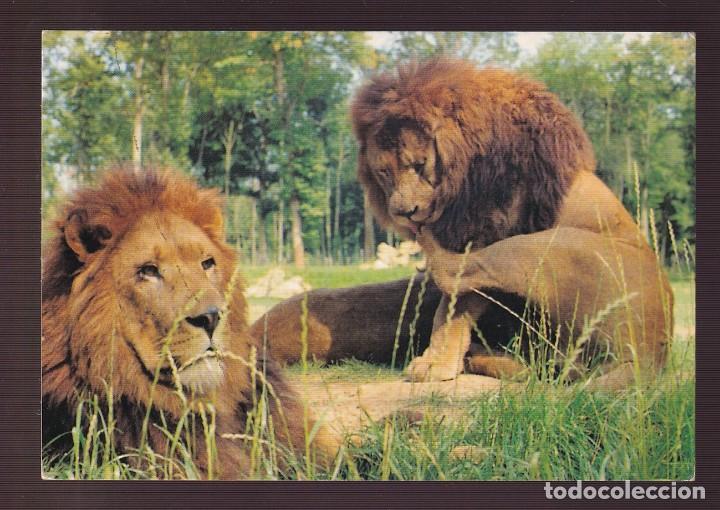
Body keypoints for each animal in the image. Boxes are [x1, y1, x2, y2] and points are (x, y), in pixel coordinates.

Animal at [351, 58, 673, 390]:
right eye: (384, 172)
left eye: (419, 165)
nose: (404, 212)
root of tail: (649, 356)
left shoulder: (487, 227)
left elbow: (452, 310)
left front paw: (435, 363)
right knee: (547, 368)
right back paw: (478, 354)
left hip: (551, 245)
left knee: (454, 272)